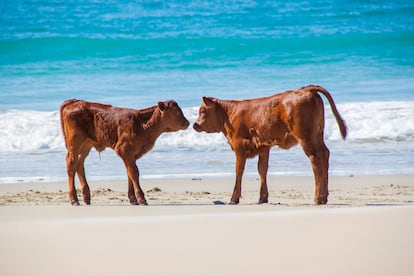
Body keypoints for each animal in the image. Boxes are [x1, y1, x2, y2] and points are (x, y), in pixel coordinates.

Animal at [60, 99, 190, 205]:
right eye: (174, 112)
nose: (187, 123)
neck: (141, 125)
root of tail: (75, 101)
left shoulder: (131, 155)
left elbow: (129, 174)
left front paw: (133, 199)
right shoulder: (124, 150)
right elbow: (134, 173)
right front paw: (141, 199)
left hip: (86, 144)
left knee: (79, 164)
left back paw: (86, 198)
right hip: (74, 144)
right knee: (71, 165)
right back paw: (74, 200)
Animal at [193, 85, 346, 204]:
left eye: (202, 111)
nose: (195, 125)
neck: (229, 114)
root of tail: (306, 89)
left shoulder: (239, 146)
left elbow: (239, 171)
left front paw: (234, 199)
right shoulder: (263, 147)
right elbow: (262, 169)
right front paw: (263, 197)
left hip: (306, 137)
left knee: (315, 158)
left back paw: (318, 198)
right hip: (317, 134)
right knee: (325, 154)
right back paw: (324, 197)